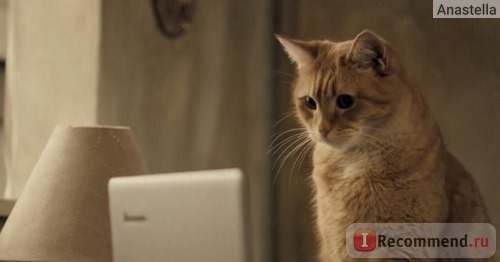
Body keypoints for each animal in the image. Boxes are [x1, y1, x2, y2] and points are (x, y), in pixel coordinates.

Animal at [278, 29, 492, 260]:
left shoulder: (405, 246)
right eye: (310, 102)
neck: (354, 165)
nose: (322, 129)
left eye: (345, 101)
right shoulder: (340, 246)